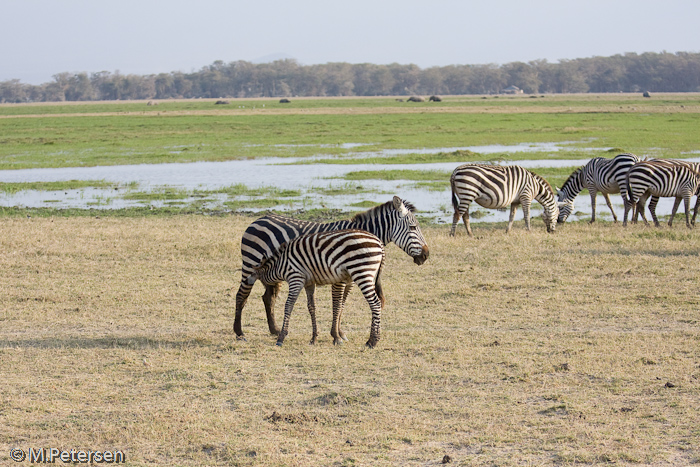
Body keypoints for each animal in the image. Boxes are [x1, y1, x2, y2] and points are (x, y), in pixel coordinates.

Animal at [245, 229, 388, 348]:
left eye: (252, 273)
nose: (246, 280)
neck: (280, 265)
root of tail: (379, 242)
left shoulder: (296, 278)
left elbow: (289, 305)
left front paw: (281, 337)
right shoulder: (309, 282)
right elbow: (311, 307)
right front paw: (314, 338)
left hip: (361, 271)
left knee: (375, 303)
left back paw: (372, 341)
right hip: (368, 274)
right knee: (376, 303)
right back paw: (374, 338)